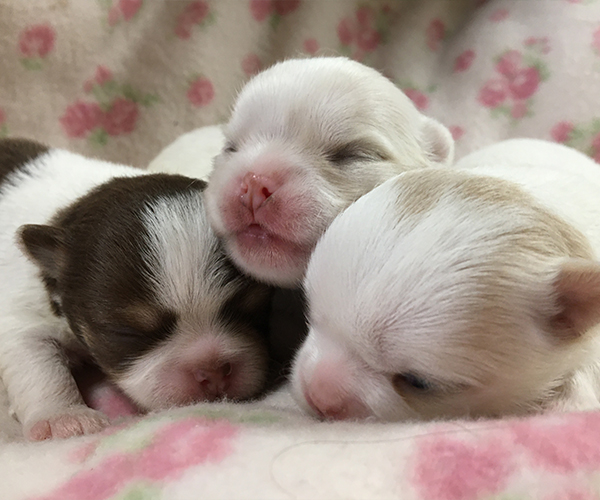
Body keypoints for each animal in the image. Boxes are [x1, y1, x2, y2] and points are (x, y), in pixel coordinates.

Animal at [0, 139, 272, 440]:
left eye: (252, 310)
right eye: (126, 332)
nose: (212, 371)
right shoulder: (22, 317)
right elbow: (39, 367)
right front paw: (64, 419)